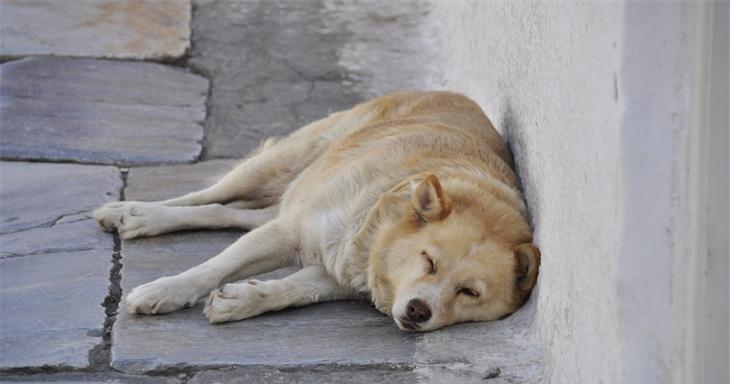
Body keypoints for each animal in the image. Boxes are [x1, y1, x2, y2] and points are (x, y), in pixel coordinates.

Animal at [91, 91, 536, 332]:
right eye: (429, 261)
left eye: (470, 293)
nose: (417, 311)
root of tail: (452, 93)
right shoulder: (291, 233)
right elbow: (213, 267)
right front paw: (166, 290)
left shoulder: (339, 270)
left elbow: (293, 290)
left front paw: (245, 299)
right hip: (281, 162)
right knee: (205, 196)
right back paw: (136, 213)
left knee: (229, 213)